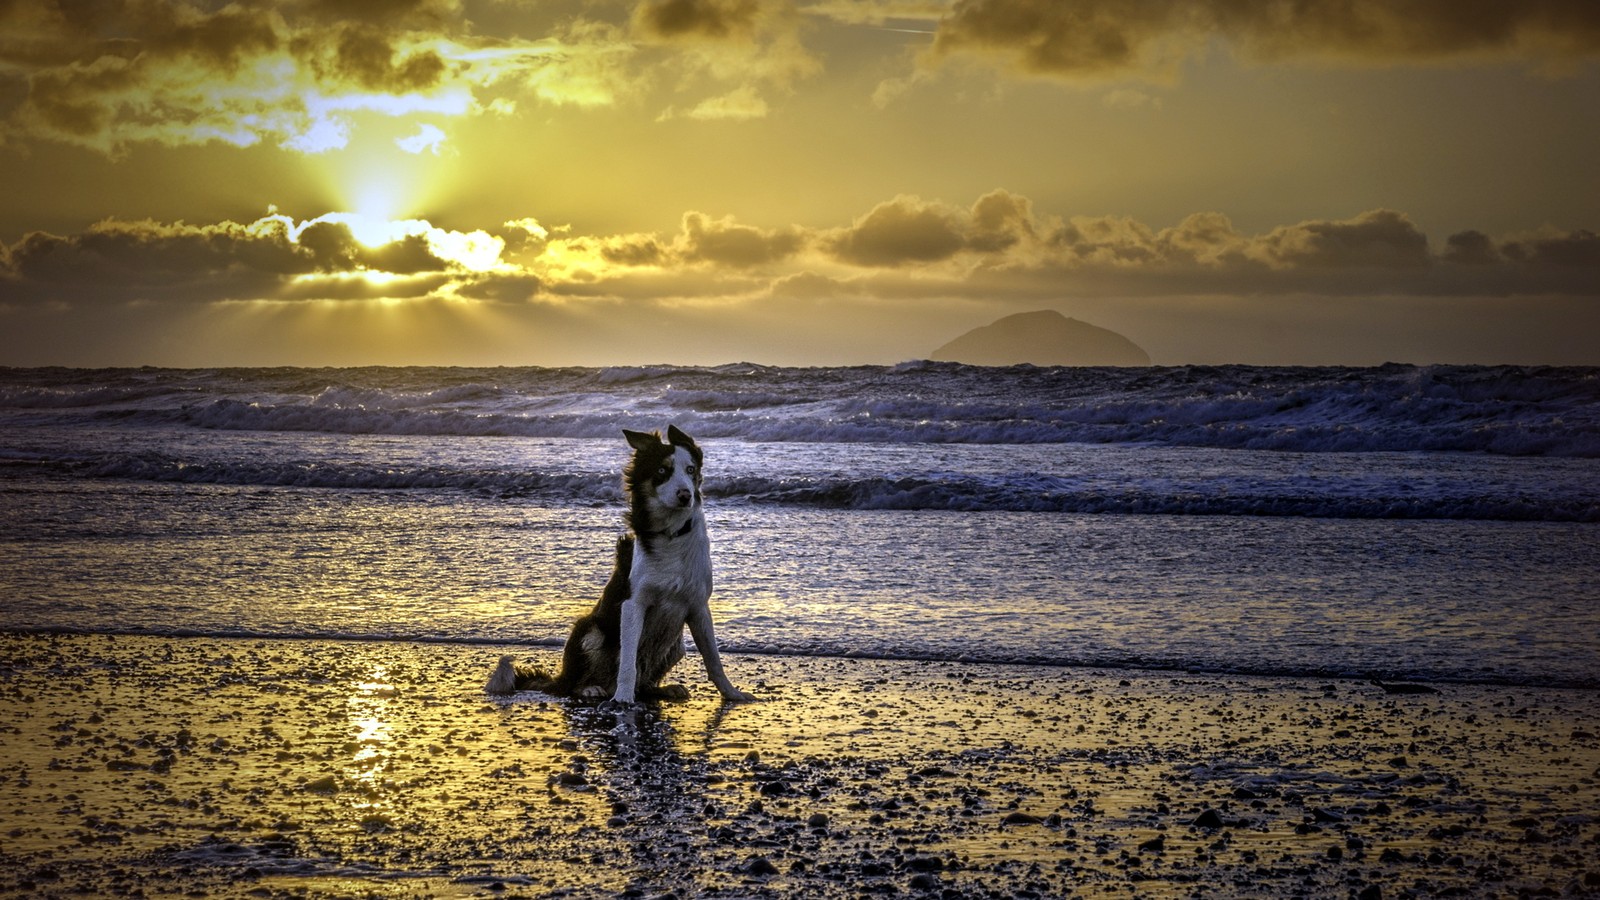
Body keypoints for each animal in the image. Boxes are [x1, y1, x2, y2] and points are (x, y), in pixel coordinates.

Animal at [486, 425, 755, 701]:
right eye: (662, 471)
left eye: (691, 470)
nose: (685, 495)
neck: (671, 534)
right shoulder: (632, 603)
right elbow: (627, 660)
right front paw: (623, 698)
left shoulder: (698, 606)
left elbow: (713, 659)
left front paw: (732, 693)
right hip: (591, 630)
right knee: (573, 684)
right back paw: (592, 689)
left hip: (676, 645)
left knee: (644, 682)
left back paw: (661, 689)